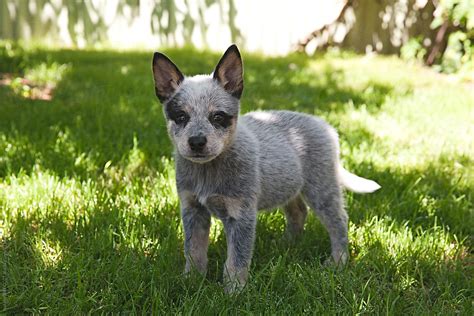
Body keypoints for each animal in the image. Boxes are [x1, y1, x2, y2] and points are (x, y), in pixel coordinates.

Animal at [152, 44, 382, 294]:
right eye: (181, 116)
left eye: (218, 117)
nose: (196, 142)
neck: (208, 171)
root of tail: (325, 125)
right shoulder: (193, 209)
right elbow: (193, 251)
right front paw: (191, 282)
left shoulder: (241, 215)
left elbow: (236, 260)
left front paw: (234, 291)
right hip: (290, 186)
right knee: (298, 212)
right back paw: (288, 243)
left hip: (321, 189)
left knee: (338, 221)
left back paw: (338, 261)